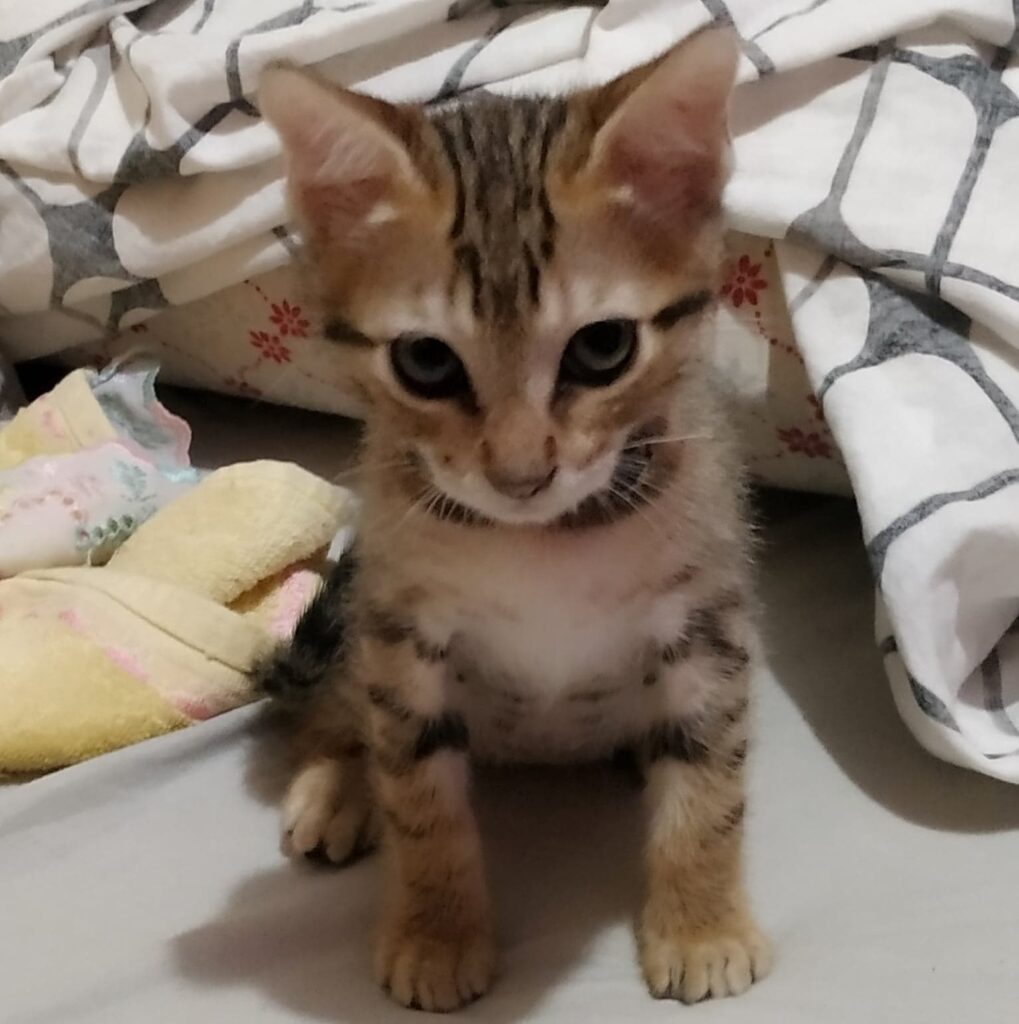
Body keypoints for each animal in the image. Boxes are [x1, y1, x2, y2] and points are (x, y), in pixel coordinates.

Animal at [257, 28, 774, 1011]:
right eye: (424, 362)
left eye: (602, 347)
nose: (520, 474)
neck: (542, 542)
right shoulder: (401, 634)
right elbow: (418, 796)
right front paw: (435, 932)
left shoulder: (706, 624)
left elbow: (711, 786)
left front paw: (700, 923)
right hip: (355, 624)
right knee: (332, 714)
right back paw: (336, 787)